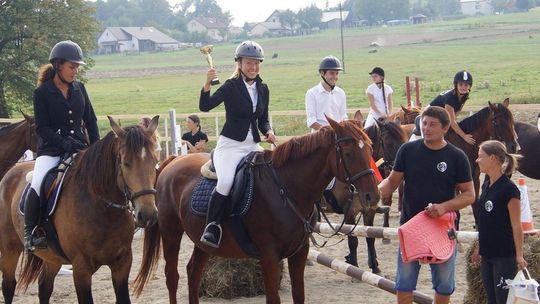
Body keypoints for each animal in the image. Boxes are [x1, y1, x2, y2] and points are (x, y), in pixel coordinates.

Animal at [0, 115, 160, 302]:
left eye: (155, 162)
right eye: (126, 163)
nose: (148, 215)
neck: (103, 209)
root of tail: (11, 171)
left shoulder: (122, 264)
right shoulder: (81, 269)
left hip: (52, 257)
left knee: (44, 286)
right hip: (9, 249)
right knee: (9, 285)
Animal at [134, 118, 380, 304]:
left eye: (370, 148)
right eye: (347, 153)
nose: (373, 196)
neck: (286, 188)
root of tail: (173, 161)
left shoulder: (299, 253)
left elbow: (299, 295)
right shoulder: (269, 255)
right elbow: (273, 299)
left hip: (202, 242)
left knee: (193, 273)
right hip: (171, 233)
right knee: (172, 277)